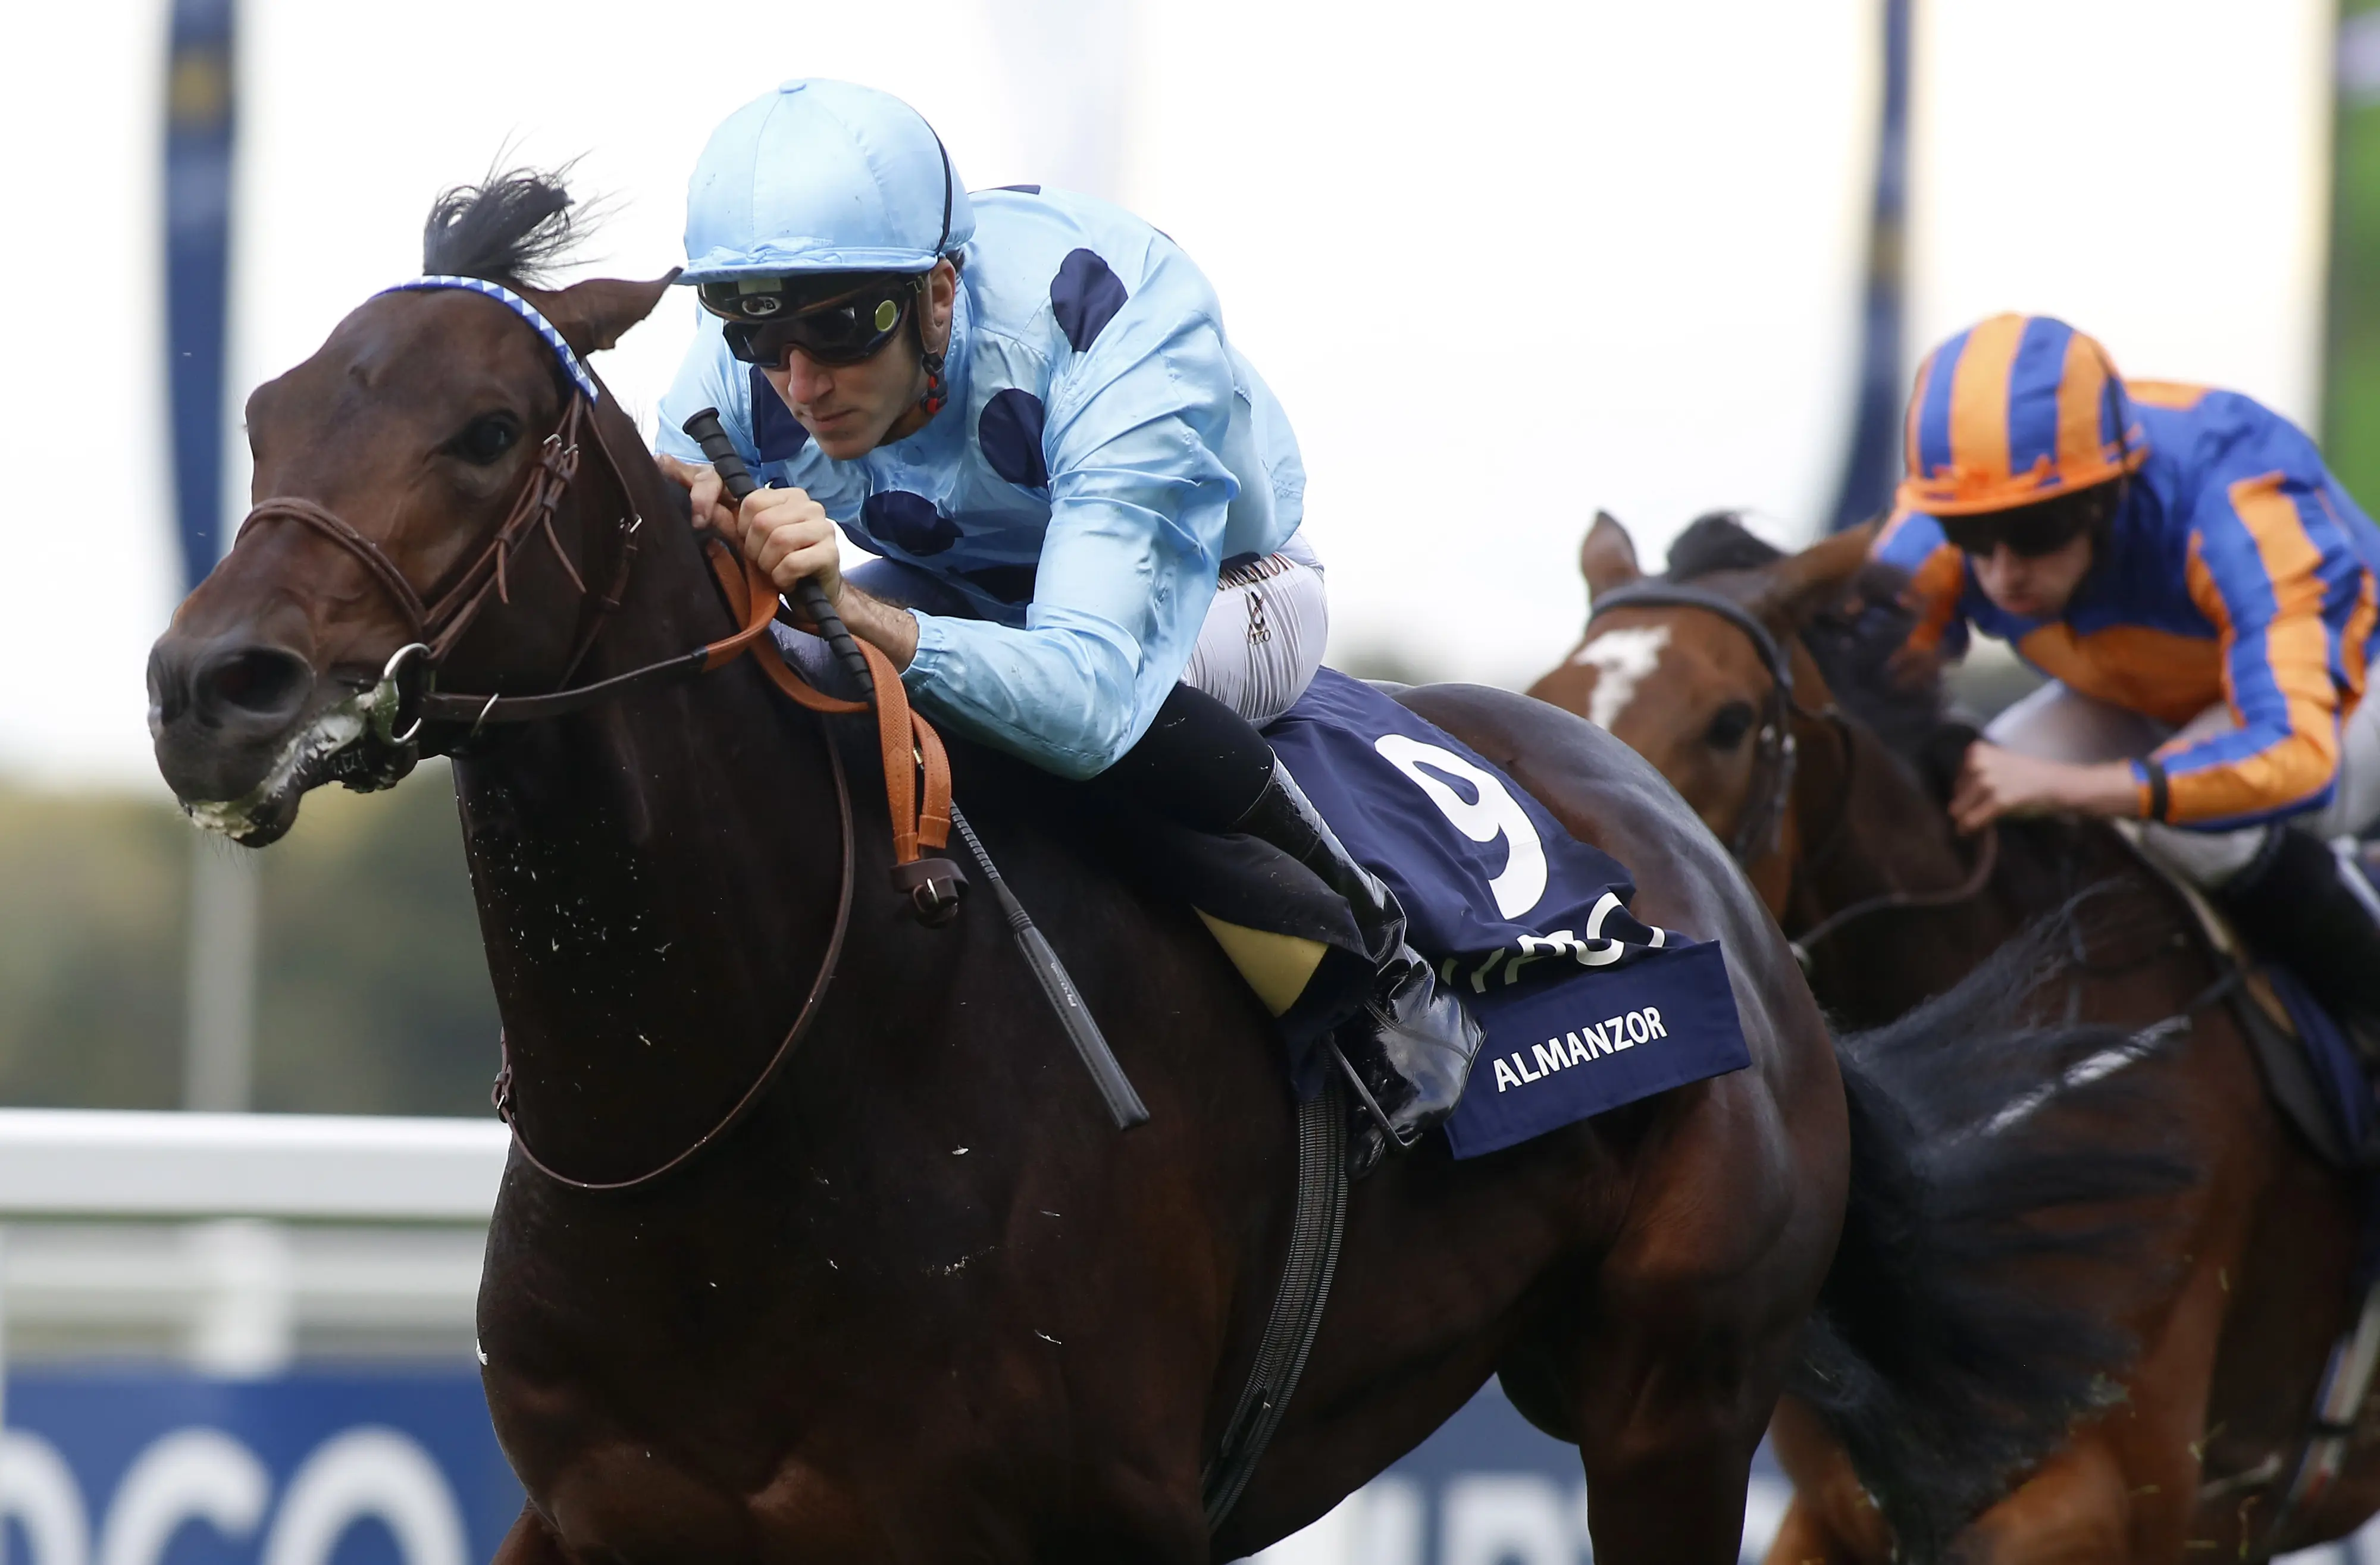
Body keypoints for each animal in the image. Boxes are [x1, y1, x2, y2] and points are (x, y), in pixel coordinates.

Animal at [150, 172, 2159, 1564]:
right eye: (263, 414)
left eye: (486, 429)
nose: (210, 686)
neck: (760, 1093)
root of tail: (1708, 872)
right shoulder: (605, 1511)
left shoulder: (1098, 1514)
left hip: (1676, 1395)